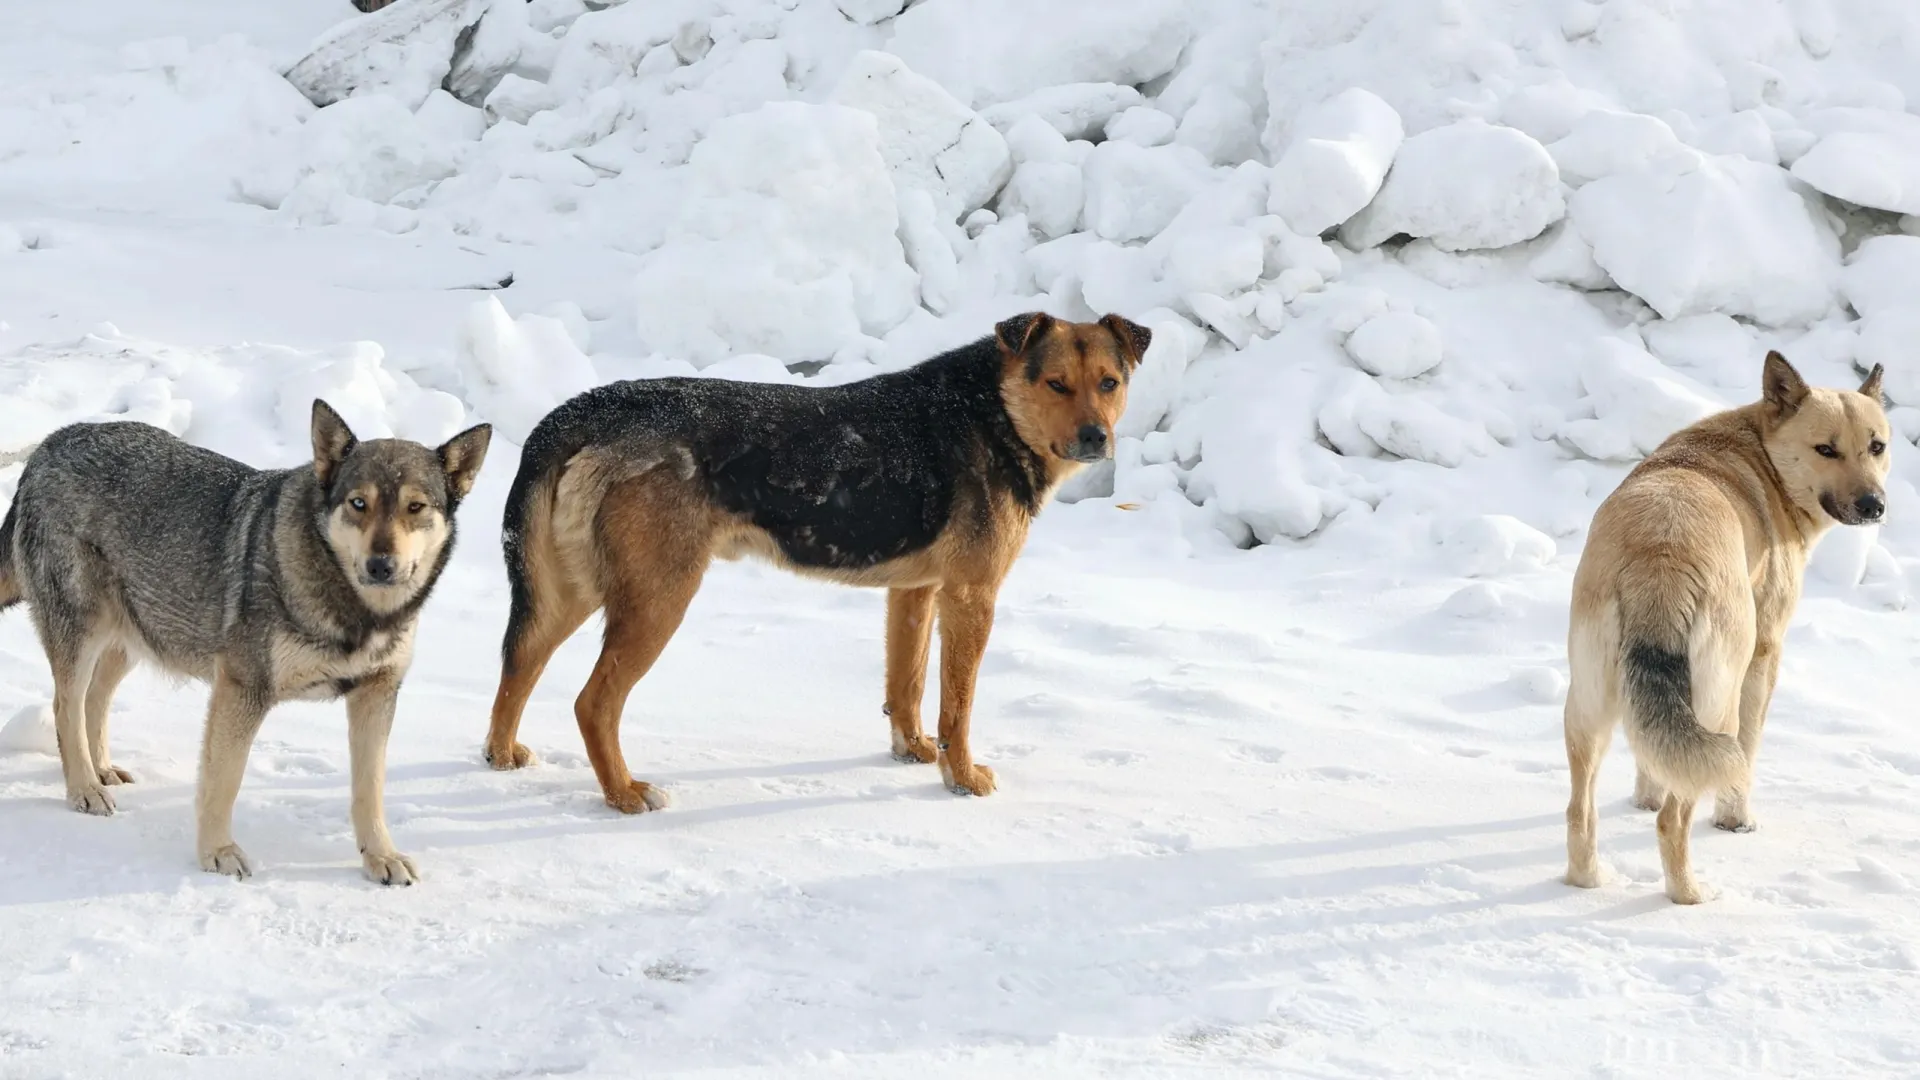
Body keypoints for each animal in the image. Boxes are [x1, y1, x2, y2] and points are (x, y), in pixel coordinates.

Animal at [0, 401, 491, 883]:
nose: (381, 565)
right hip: (86, 632)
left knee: (94, 700)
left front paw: (380, 857)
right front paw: (217, 853)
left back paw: (101, 770)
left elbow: (370, 789)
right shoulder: (242, 689)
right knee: (65, 705)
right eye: (358, 503)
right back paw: (84, 788)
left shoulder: (376, 694)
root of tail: (51, 443)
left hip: (137, 636)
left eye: (415, 507)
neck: (357, 610)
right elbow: (225, 781)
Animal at [480, 311, 1144, 807]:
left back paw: (502, 756)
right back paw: (622, 793)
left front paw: (912, 750)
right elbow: (958, 708)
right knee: (592, 703)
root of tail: (586, 408)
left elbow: (905, 684)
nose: (1095, 438)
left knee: (518, 665)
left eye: (1109, 382)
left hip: (573, 590)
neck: (994, 411)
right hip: (657, 599)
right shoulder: (971, 598)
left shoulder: (916, 592)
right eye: (1055, 383)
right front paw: (961, 778)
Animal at [1574, 351, 1889, 899]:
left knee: (1579, 810)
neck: (1763, 453)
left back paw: (1587, 880)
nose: (1874, 506)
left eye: (1876, 447)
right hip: (1717, 699)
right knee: (1674, 819)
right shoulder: (1764, 656)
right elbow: (1749, 745)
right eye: (1826, 449)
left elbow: (1654, 755)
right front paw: (1736, 822)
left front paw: (1643, 798)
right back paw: (1691, 898)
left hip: (1587, 704)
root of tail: (1659, 559)